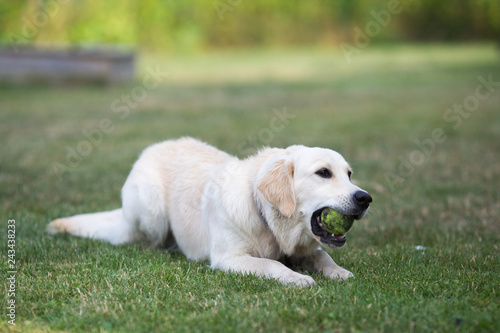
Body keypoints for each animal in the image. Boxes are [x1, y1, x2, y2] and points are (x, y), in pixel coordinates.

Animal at [48, 137, 372, 286]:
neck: (267, 219)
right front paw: (296, 278)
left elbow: (322, 255)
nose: (365, 198)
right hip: (152, 212)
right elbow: (272, 265)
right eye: (323, 173)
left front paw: (338, 271)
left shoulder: (305, 248)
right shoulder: (230, 258)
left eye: (349, 174)